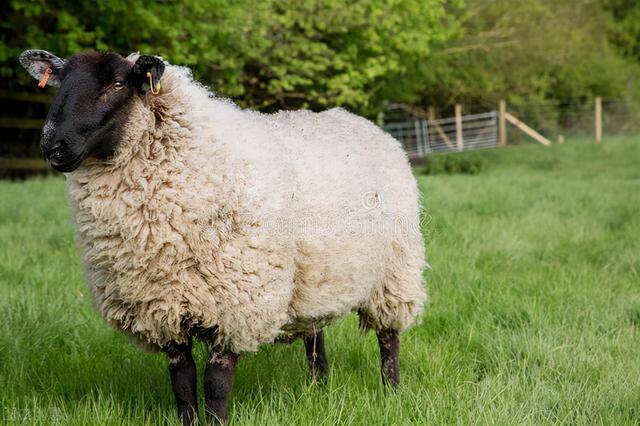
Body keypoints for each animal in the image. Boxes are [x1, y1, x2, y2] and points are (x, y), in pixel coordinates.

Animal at [20, 49, 428, 422]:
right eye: (60, 83)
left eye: (117, 85)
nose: (53, 146)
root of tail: (355, 119)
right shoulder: (162, 305)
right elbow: (182, 382)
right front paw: (188, 420)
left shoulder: (236, 302)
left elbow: (216, 383)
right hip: (313, 277)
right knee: (315, 337)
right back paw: (319, 390)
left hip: (395, 271)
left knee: (388, 338)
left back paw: (391, 393)